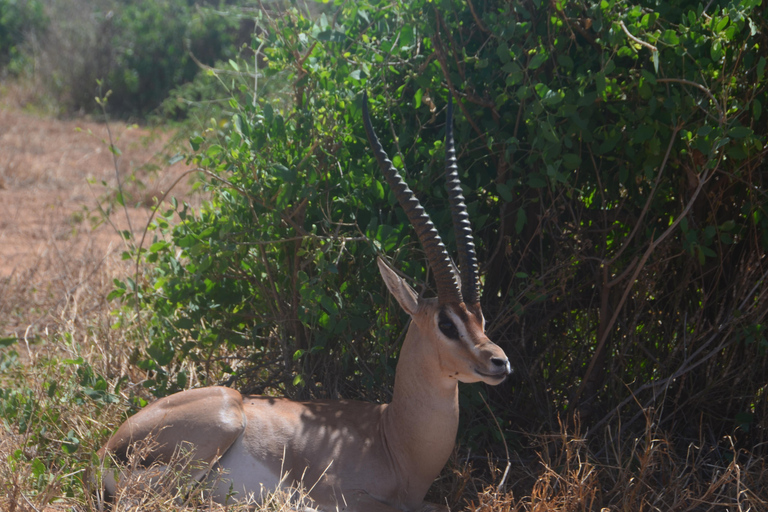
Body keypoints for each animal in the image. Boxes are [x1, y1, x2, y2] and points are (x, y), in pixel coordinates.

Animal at [100, 93, 510, 512]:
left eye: (481, 318)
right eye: (446, 324)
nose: (499, 362)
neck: (393, 436)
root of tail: (107, 451)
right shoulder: (345, 498)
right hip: (214, 432)